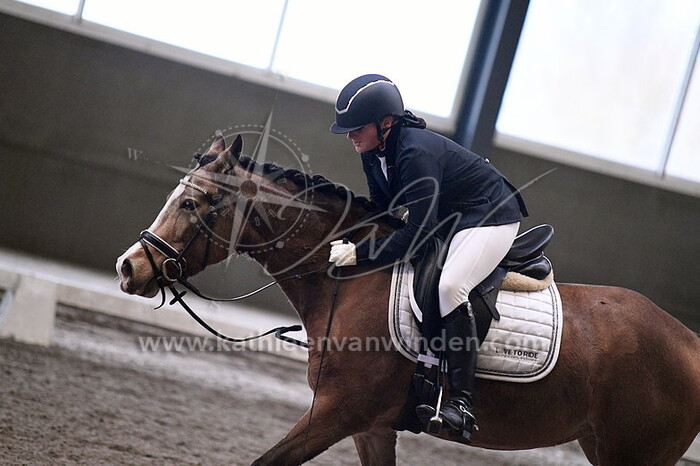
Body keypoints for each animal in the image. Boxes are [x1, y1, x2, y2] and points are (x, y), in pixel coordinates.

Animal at [116, 134, 700, 465]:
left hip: (637, 453)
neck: (348, 281)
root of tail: (689, 342)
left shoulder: (334, 414)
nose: (129, 268)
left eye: (192, 204)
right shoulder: (370, 427)